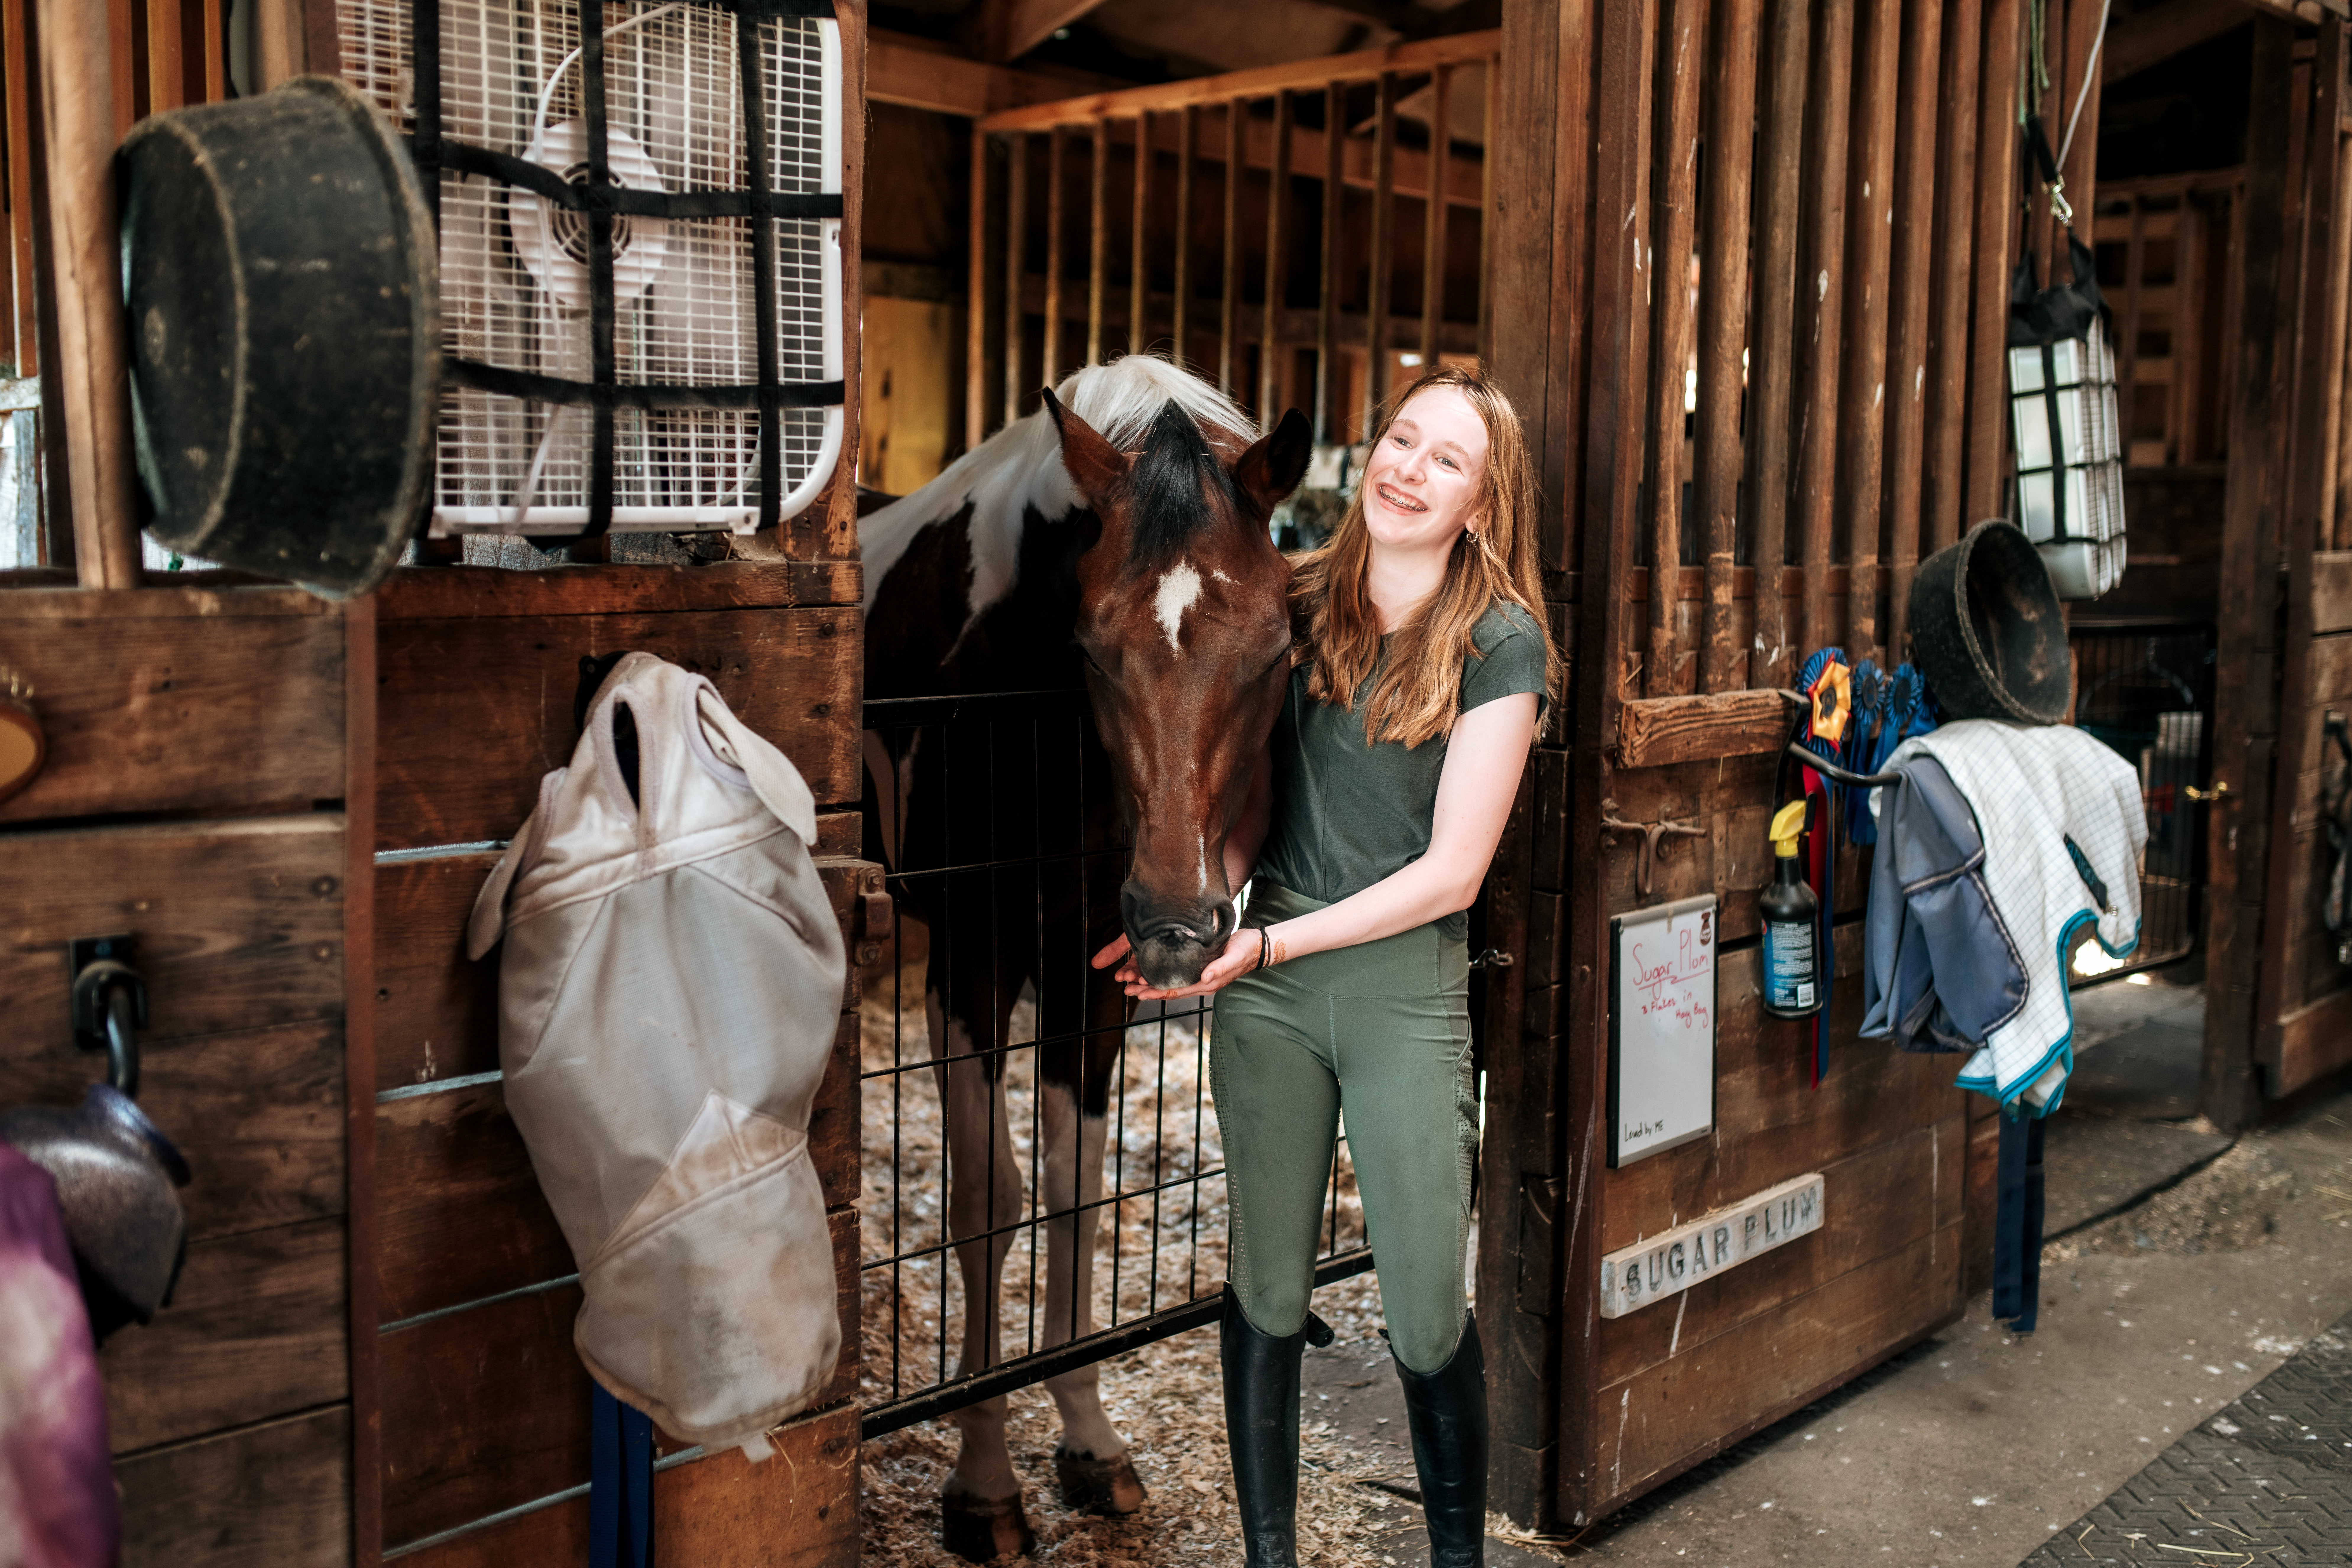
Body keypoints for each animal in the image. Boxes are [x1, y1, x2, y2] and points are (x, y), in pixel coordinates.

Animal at [860, 354, 1310, 1560]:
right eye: (1091, 647)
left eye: (1275, 646)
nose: (1179, 921)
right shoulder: (973, 956)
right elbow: (986, 1199)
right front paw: (981, 1480)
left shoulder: (1088, 967)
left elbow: (1074, 1187)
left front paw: (1087, 1439)